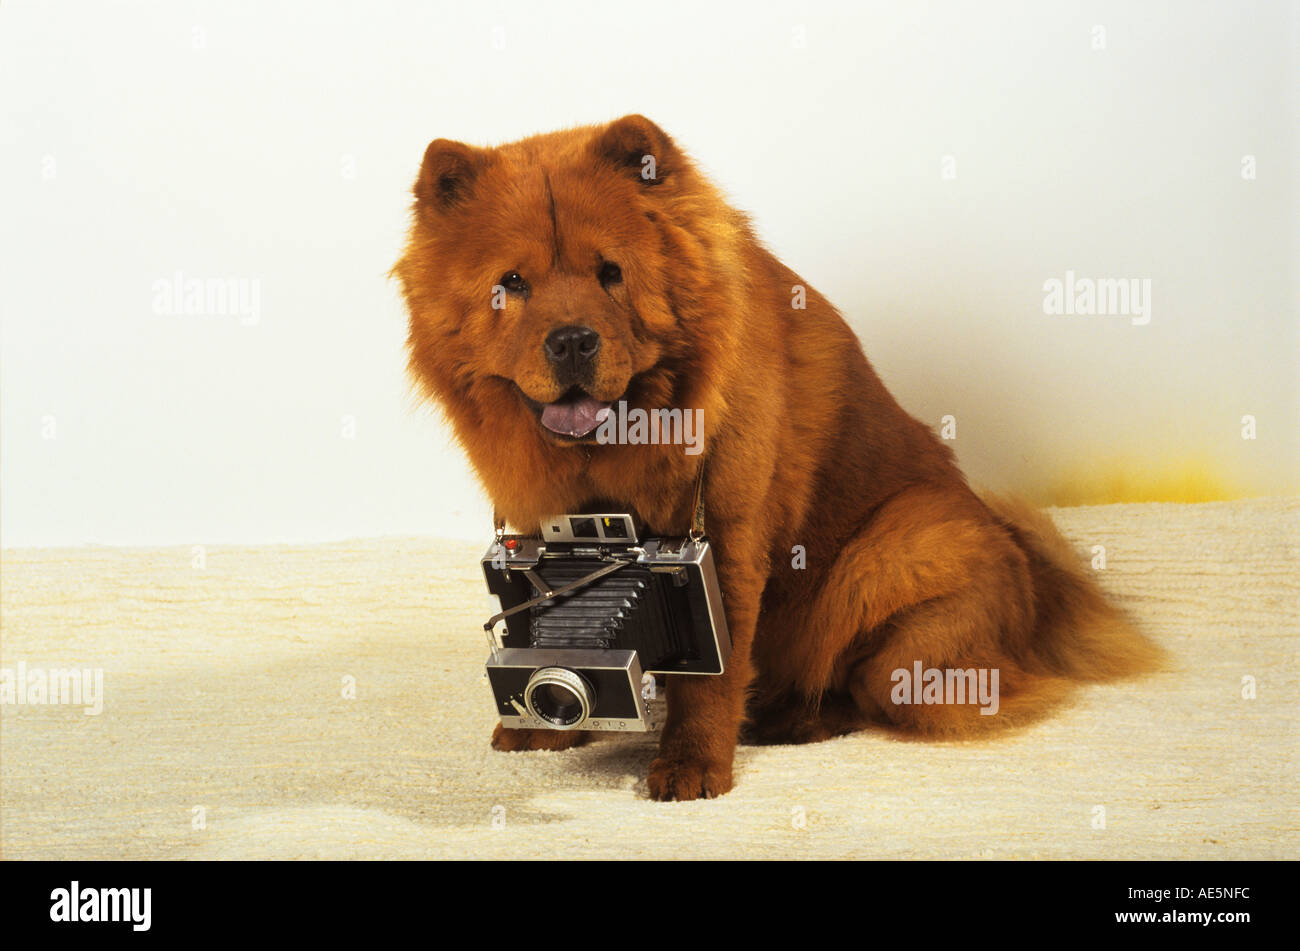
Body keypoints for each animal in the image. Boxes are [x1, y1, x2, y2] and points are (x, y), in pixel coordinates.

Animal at [390, 116, 1164, 800]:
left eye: (611, 272)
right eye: (512, 283)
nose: (573, 340)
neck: (610, 466)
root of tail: (1039, 584)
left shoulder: (724, 547)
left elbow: (713, 677)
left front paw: (693, 767)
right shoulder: (535, 527)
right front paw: (537, 727)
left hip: (893, 558)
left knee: (870, 687)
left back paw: (789, 718)